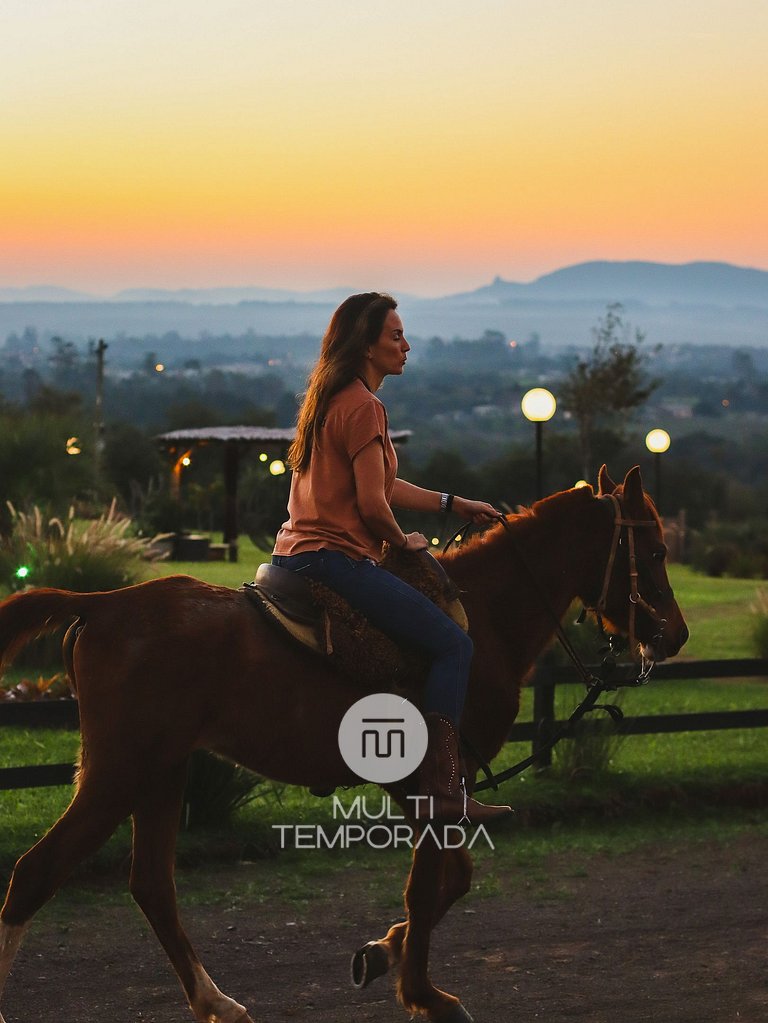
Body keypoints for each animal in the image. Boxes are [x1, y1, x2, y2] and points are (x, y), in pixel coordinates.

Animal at [0, 468, 683, 1018]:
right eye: (652, 549)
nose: (674, 635)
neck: (484, 620)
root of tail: (103, 603)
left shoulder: (426, 789)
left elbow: (453, 880)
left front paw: (381, 954)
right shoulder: (434, 789)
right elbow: (428, 886)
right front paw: (425, 995)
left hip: (162, 772)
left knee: (151, 885)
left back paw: (216, 1001)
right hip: (119, 772)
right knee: (36, 874)